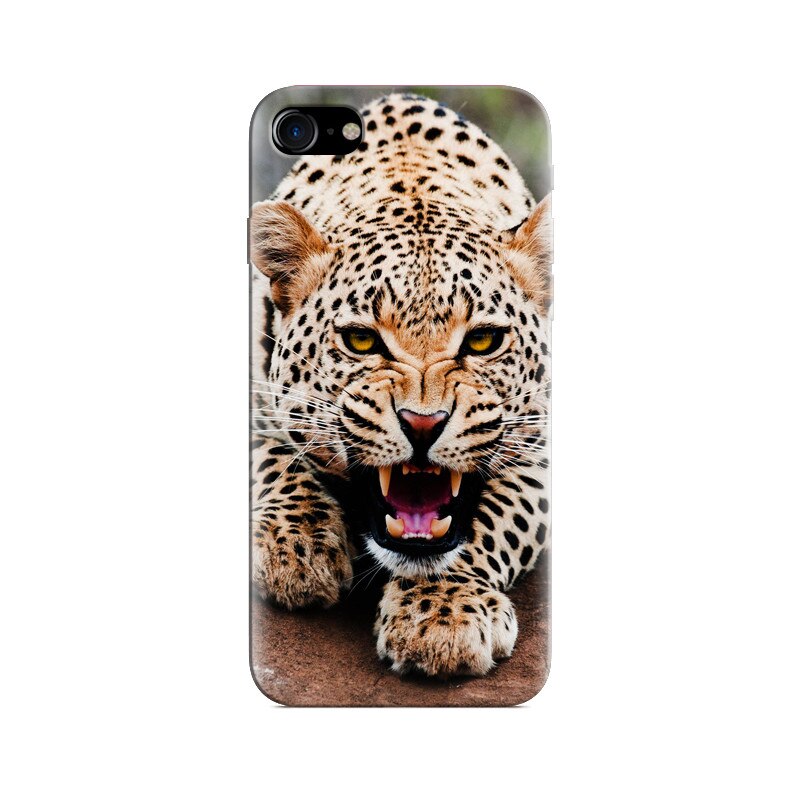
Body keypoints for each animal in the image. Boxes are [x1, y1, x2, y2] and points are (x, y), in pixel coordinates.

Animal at [250, 92, 551, 678]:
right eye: (361, 341)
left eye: (483, 341)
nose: (423, 423)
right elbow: (270, 457)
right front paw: (297, 548)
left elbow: (496, 517)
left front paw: (443, 614)